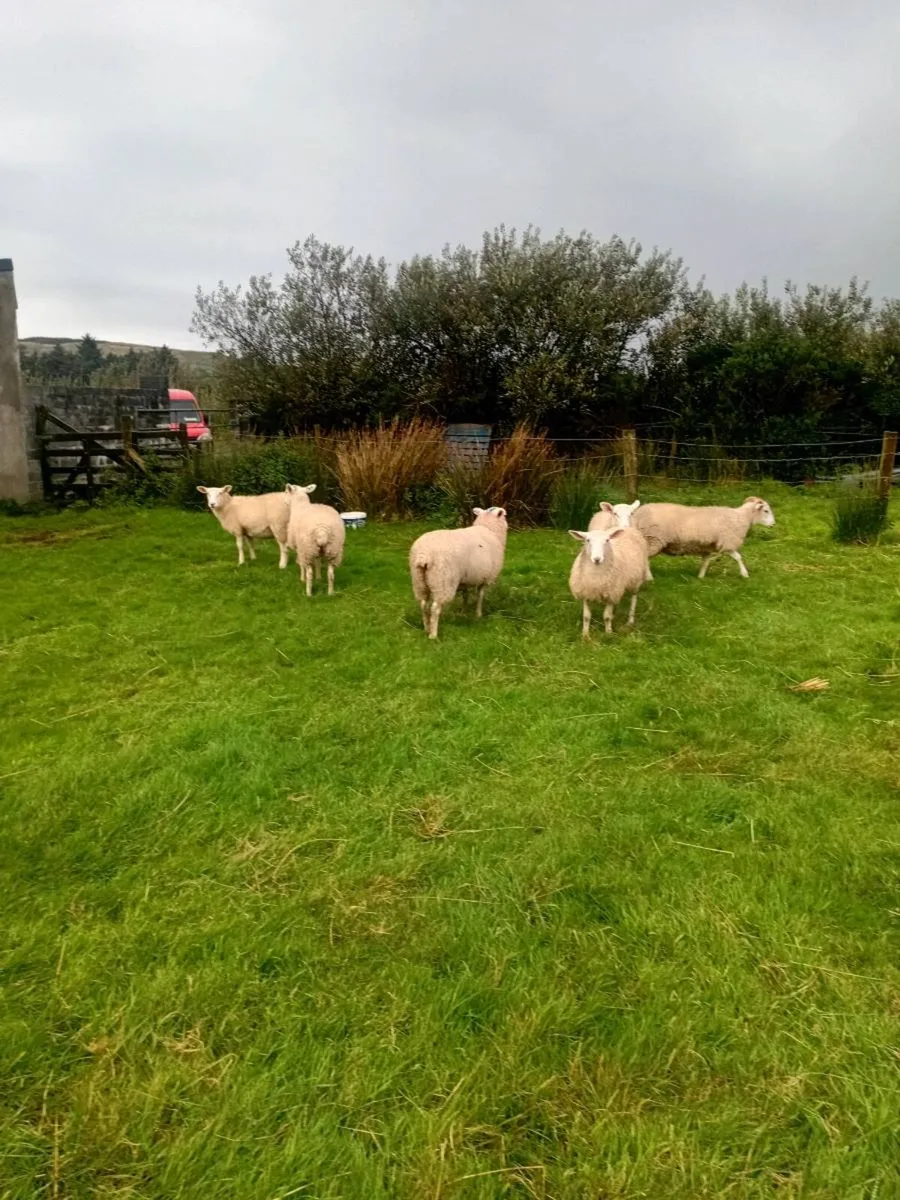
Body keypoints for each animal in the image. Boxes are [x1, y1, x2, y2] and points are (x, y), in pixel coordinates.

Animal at [409, 506, 508, 639]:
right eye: (505, 516)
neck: (489, 529)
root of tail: (423, 554)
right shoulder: (485, 577)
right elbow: (480, 595)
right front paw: (478, 614)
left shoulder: (465, 578)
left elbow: (465, 595)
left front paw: (464, 612)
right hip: (443, 580)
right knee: (435, 608)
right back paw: (433, 635)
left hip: (419, 580)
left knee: (423, 604)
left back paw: (426, 628)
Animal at [630, 496, 775, 578]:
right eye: (766, 511)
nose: (773, 524)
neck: (741, 517)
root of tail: (637, 515)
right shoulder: (728, 542)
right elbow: (738, 557)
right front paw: (745, 574)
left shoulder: (708, 546)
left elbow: (705, 562)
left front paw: (700, 577)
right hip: (653, 539)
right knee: (644, 558)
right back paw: (649, 578)